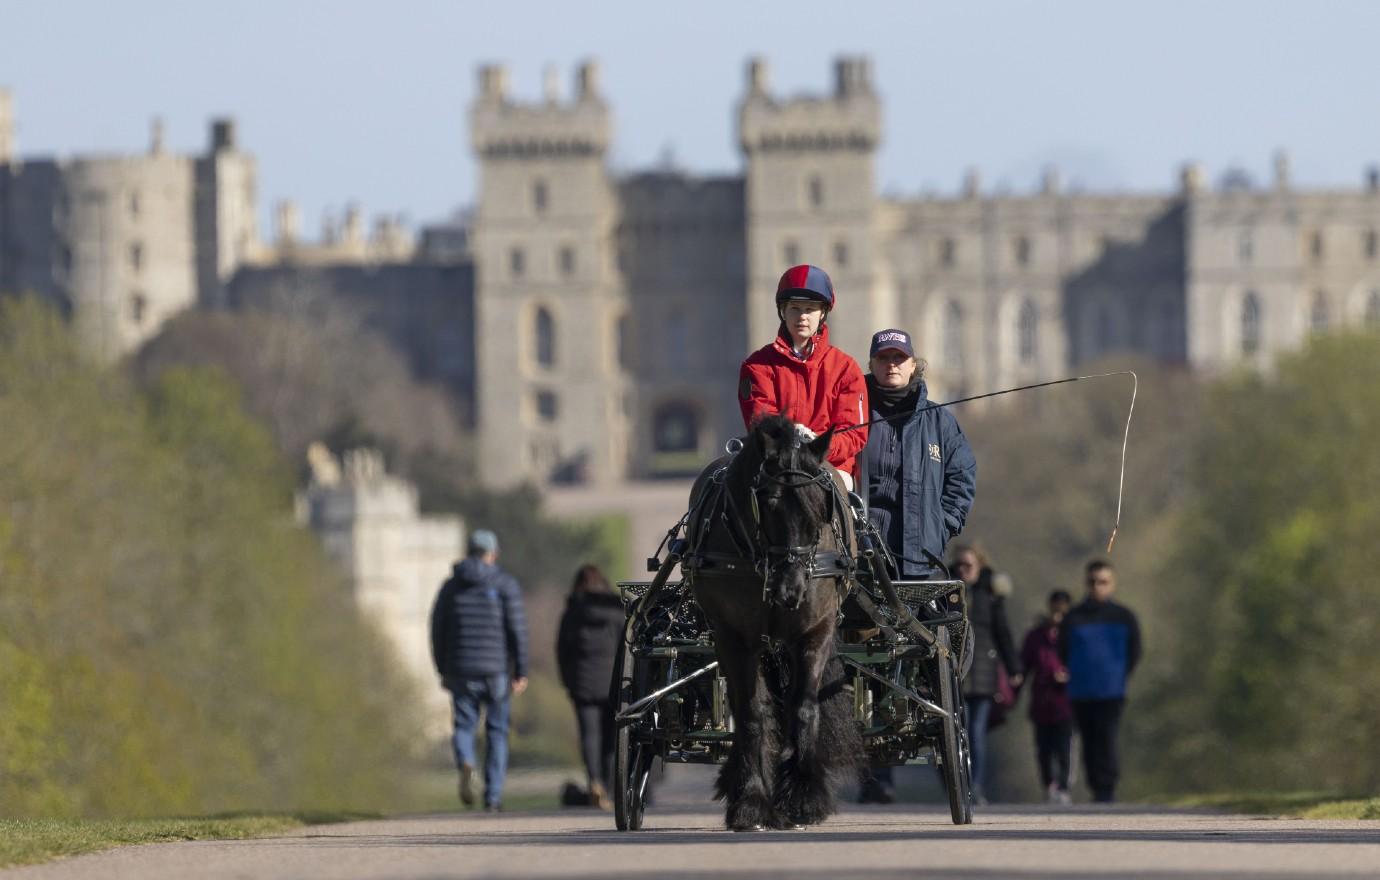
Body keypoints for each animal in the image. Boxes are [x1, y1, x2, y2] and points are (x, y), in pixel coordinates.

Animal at [681, 416, 855, 833]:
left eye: (819, 508)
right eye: (768, 501)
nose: (790, 590)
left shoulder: (815, 631)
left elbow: (804, 707)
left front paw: (804, 797)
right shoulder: (733, 637)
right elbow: (750, 713)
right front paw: (752, 801)